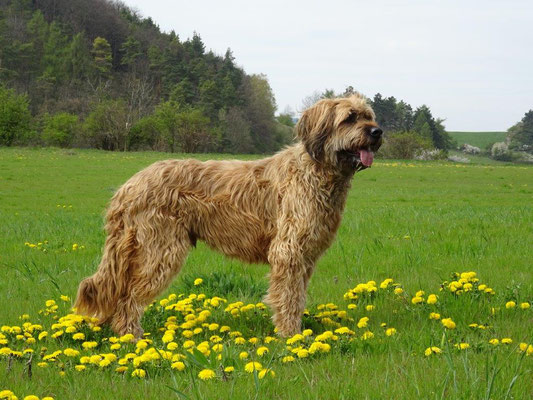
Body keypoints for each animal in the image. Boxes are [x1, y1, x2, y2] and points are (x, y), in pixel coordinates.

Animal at [75, 94, 382, 338]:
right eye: (350, 118)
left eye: (369, 115)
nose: (377, 132)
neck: (316, 169)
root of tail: (128, 186)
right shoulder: (289, 251)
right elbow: (288, 296)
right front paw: (290, 335)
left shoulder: (305, 256)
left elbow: (297, 296)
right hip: (160, 249)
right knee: (129, 297)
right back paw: (132, 337)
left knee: (118, 291)